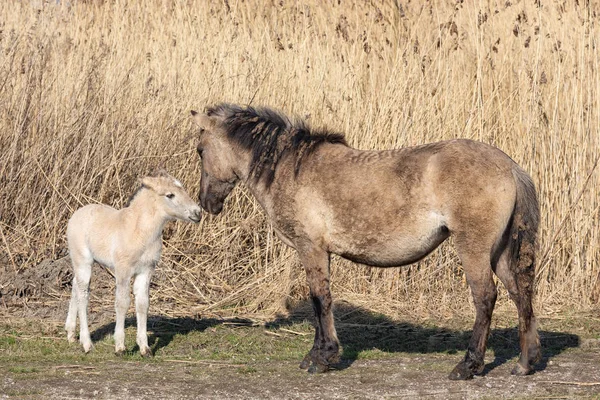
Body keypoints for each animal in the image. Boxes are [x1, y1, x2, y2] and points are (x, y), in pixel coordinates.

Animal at [191, 102, 540, 378]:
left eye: (200, 150)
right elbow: (320, 301)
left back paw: (468, 365)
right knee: (520, 292)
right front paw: (316, 354)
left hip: (474, 248)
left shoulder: (311, 248)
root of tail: (510, 167)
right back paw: (525, 362)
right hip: (499, 251)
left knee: (485, 297)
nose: (206, 203)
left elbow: (320, 299)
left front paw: (322, 358)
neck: (291, 169)